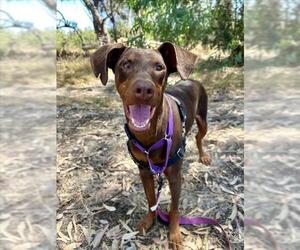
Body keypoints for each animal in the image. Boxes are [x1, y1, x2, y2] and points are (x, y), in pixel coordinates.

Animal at [90, 42, 210, 249]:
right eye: (126, 64)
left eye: (159, 67)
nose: (144, 89)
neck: (150, 135)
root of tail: (192, 80)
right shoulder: (144, 170)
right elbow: (151, 199)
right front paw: (150, 220)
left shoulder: (174, 175)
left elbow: (174, 209)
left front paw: (174, 234)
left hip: (203, 120)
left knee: (198, 137)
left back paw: (202, 155)